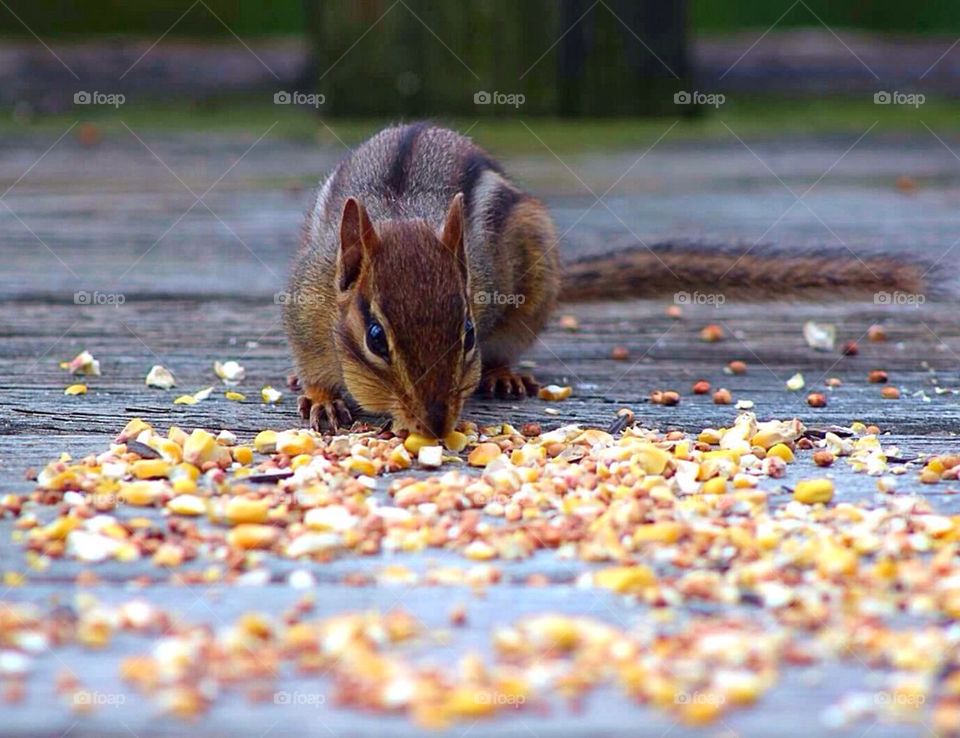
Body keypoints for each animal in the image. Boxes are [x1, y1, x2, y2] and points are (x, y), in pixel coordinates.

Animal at [283, 122, 927, 437]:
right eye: (375, 338)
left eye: (467, 332)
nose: (437, 425)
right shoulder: (305, 306)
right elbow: (317, 364)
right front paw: (322, 399)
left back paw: (505, 375)